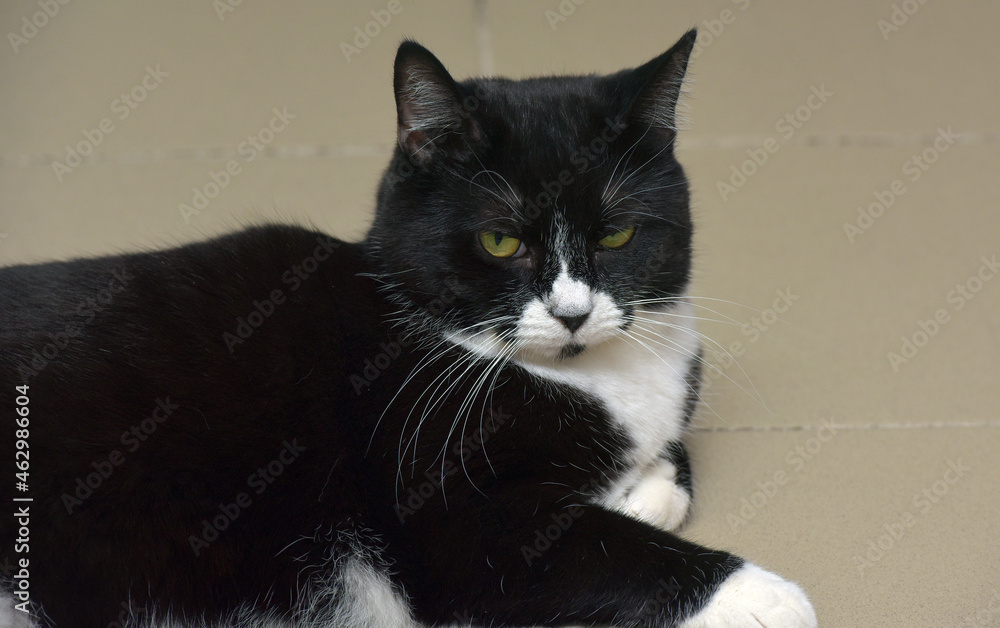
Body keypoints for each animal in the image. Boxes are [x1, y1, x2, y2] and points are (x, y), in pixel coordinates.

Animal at [0, 30, 816, 628]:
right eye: (499, 242)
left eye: (616, 235)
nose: (573, 311)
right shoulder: (447, 508)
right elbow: (603, 547)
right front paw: (766, 597)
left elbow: (664, 472)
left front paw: (643, 486)